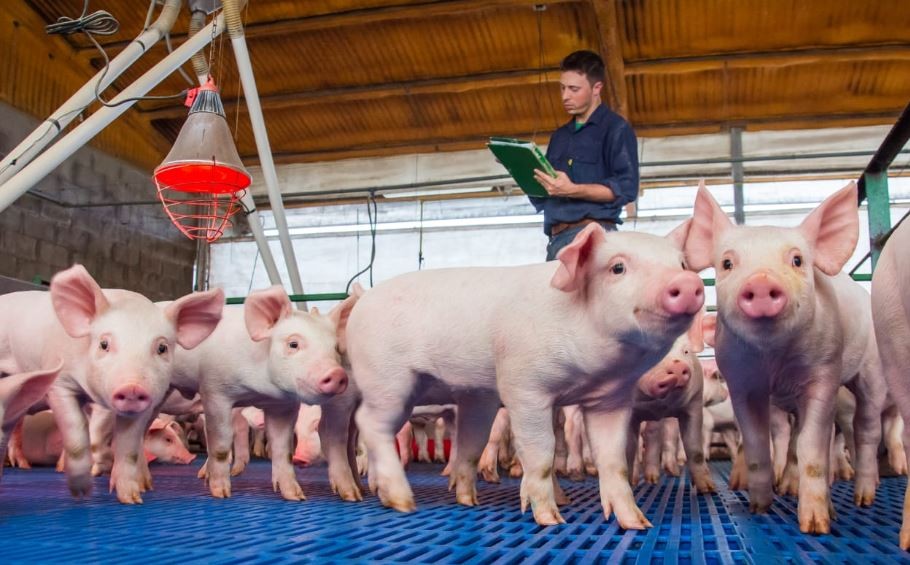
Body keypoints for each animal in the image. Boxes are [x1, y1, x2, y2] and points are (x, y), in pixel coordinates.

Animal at [0, 265, 223, 503]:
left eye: (162, 348)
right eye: (104, 344)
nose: (132, 387)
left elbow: (130, 448)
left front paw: (132, 498)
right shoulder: (59, 384)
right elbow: (78, 435)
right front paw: (82, 490)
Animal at [169, 285, 356, 500]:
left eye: (335, 348)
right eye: (293, 344)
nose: (337, 374)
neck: (257, 392)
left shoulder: (282, 406)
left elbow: (283, 449)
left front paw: (296, 497)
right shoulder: (214, 391)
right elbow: (221, 443)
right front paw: (222, 494)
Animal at [337, 221, 704, 527]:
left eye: (682, 265)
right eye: (617, 267)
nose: (688, 283)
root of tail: (363, 301)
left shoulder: (610, 400)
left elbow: (614, 461)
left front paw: (638, 524)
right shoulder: (525, 386)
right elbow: (540, 453)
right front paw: (551, 520)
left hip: (459, 395)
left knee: (465, 442)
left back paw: (465, 501)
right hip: (386, 377)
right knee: (369, 423)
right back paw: (402, 503)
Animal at [684, 181, 887, 534]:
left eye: (796, 260)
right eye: (727, 263)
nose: (762, 282)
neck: (773, 361)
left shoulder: (825, 372)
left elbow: (811, 446)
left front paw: (816, 526)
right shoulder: (742, 383)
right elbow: (756, 443)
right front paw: (758, 508)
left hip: (870, 371)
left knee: (864, 429)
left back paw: (862, 499)